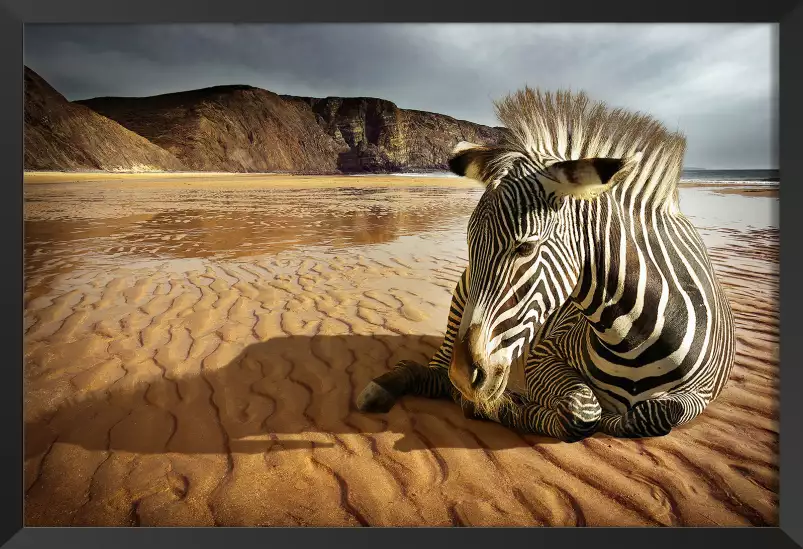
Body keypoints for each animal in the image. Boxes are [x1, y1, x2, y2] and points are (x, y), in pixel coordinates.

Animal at [358, 86, 736, 440]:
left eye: (525, 248)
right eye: (470, 244)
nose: (464, 376)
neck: (635, 338)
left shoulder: (701, 394)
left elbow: (655, 414)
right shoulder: (544, 355)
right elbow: (583, 411)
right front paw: (503, 407)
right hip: (461, 302)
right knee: (436, 373)